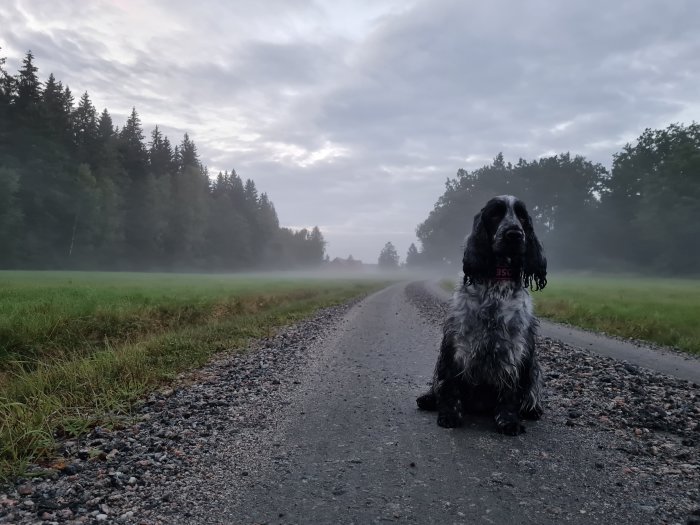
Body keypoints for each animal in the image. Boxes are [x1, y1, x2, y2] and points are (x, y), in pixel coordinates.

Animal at [416, 195, 548, 434]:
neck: (497, 279)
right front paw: (450, 415)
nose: (514, 234)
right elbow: (450, 385)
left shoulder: (515, 347)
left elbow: (510, 391)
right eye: (495, 214)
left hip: (534, 367)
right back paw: (429, 399)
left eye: (522, 217)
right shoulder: (457, 343)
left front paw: (508, 420)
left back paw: (532, 410)